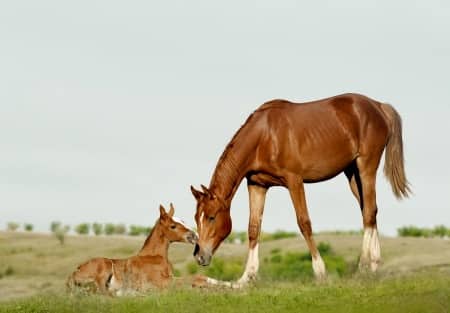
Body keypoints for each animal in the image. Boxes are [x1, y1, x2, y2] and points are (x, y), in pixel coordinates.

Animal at [67, 204, 197, 294]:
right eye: (173, 226)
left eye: (183, 221)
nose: (194, 236)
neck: (154, 257)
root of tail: (74, 274)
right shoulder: (161, 282)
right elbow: (190, 279)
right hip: (104, 267)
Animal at [192, 91, 410, 284]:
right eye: (197, 218)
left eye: (211, 217)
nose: (200, 256)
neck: (264, 136)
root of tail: (379, 106)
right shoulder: (257, 184)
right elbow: (253, 228)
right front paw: (247, 276)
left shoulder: (294, 181)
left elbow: (304, 223)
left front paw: (320, 272)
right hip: (352, 173)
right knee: (370, 211)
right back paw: (374, 265)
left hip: (366, 166)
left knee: (369, 212)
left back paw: (363, 265)